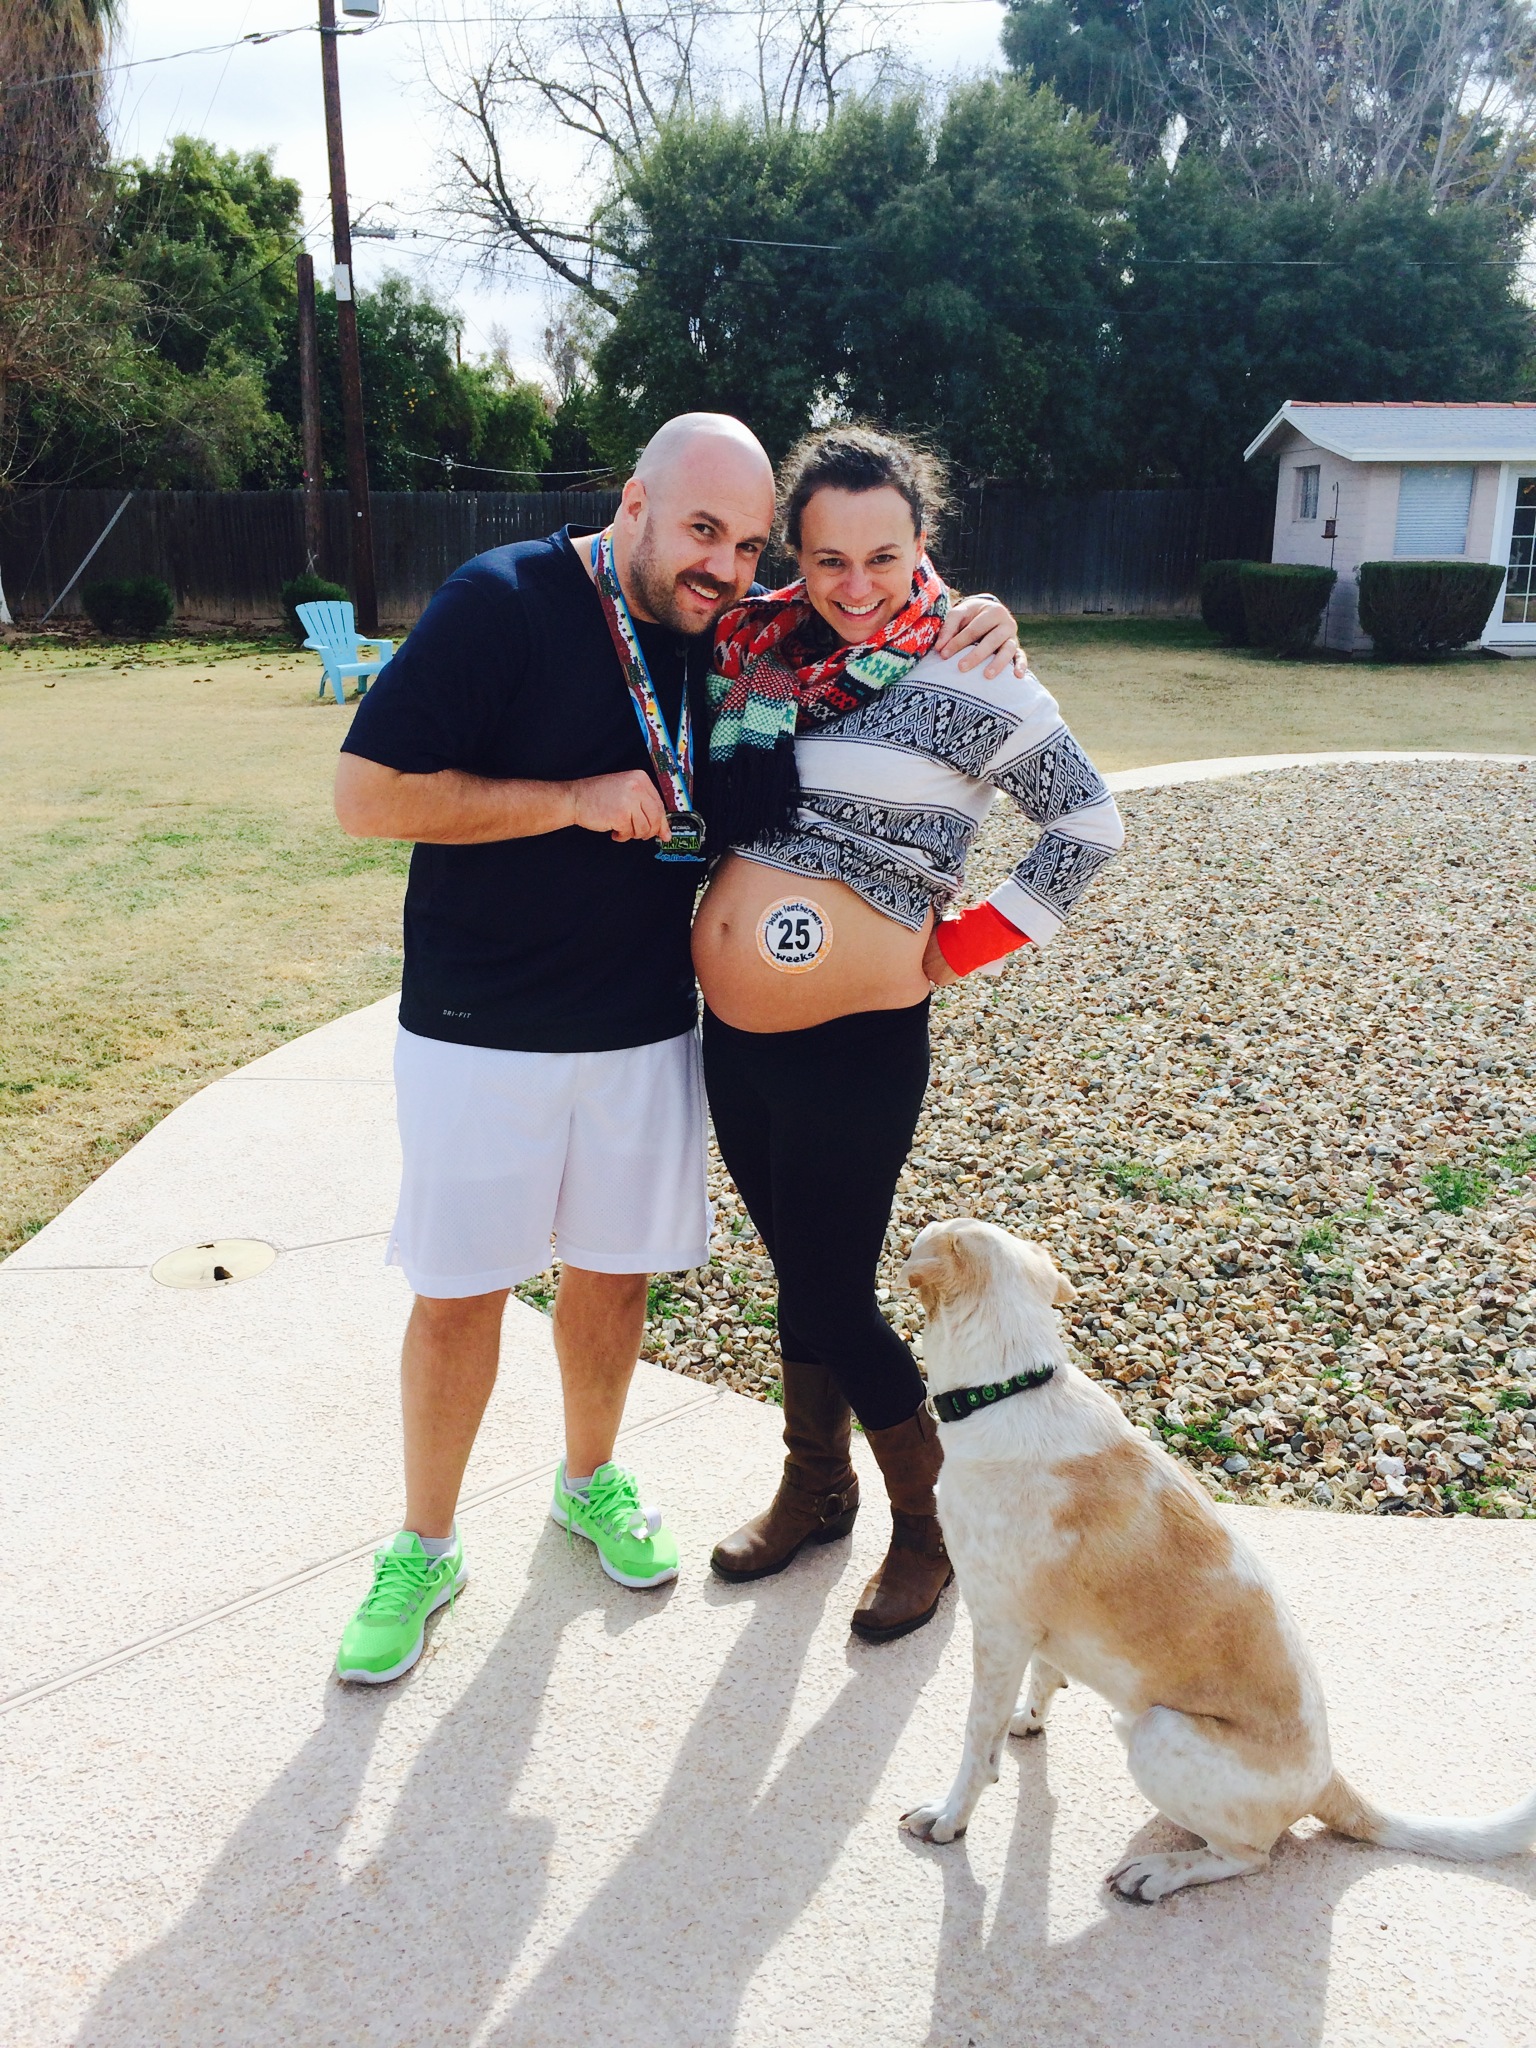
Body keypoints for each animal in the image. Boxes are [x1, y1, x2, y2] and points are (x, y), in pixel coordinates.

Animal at [898, 1217, 1536, 1901]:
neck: (1010, 1389)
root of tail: (1328, 1780)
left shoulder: (997, 1629)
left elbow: (976, 1745)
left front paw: (949, 1818)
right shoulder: (1035, 1631)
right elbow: (1043, 1679)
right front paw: (1029, 1719)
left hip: (1157, 1732)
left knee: (1249, 1856)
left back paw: (1160, 1871)